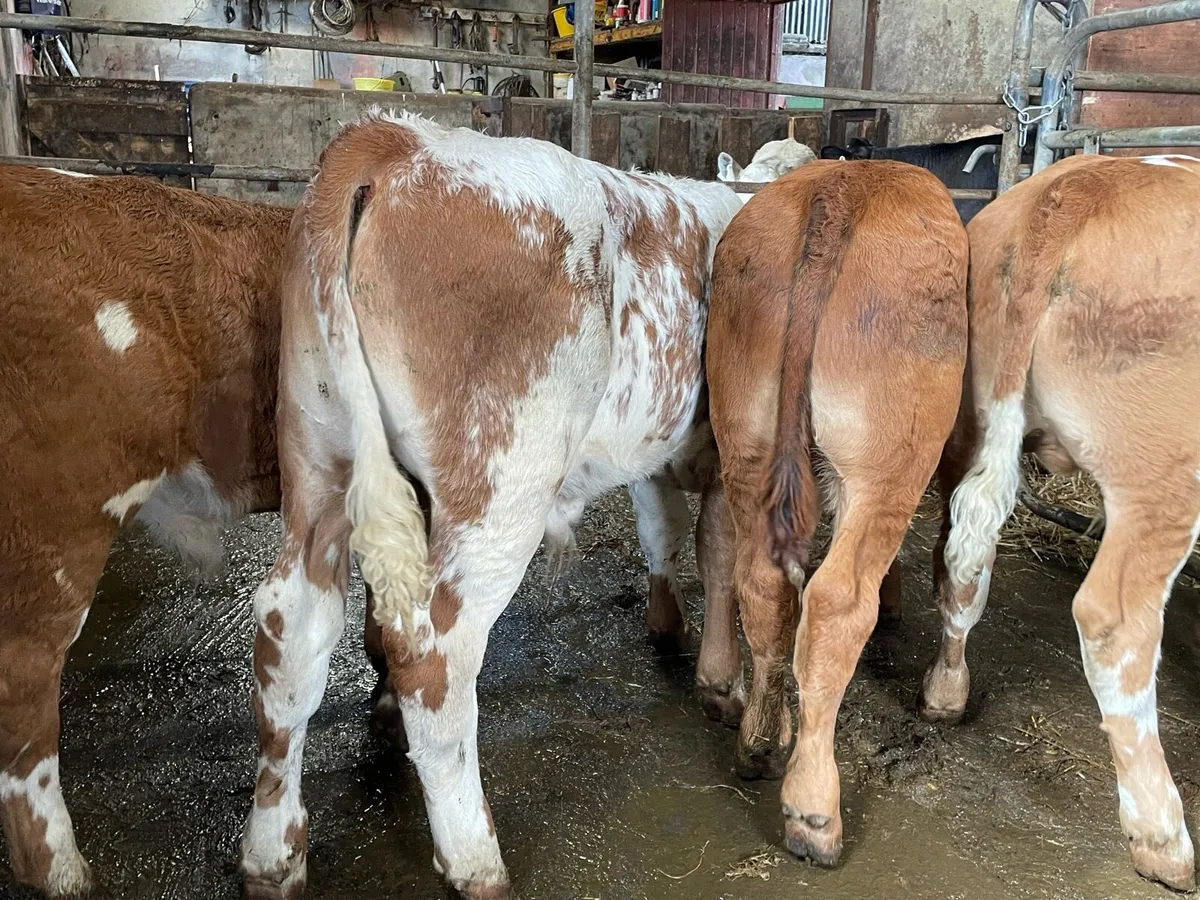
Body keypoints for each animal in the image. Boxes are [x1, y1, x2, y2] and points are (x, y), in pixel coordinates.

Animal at [238, 111, 744, 899]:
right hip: (500, 491)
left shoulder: (656, 444)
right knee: (436, 657)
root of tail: (397, 140)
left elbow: (659, 529)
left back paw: (272, 854)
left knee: (291, 635)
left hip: (319, 464)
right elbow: (718, 553)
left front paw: (667, 625)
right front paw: (721, 682)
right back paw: (475, 857)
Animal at [706, 160, 968, 865]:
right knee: (836, 604)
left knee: (765, 586)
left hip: (746, 437)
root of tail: (847, 185)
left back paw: (759, 740)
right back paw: (814, 809)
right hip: (885, 466)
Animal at [921, 153, 1200, 892]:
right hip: (1163, 477)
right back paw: (1163, 836)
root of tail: (1082, 187)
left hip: (970, 416)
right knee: (1113, 623)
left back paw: (946, 690)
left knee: (960, 556)